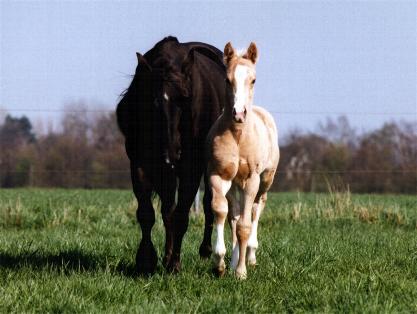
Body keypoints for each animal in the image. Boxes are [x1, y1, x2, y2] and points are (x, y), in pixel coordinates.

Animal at [115, 36, 231, 272]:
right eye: (152, 101)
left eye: (186, 98)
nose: (171, 154)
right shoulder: (141, 164)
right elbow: (148, 213)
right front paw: (146, 259)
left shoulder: (191, 168)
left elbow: (182, 215)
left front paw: (175, 264)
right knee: (168, 208)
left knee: (208, 204)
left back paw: (205, 250)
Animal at [206, 42, 278, 280]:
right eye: (228, 79)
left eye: (253, 79)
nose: (239, 113)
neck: (238, 136)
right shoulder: (218, 176)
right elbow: (222, 213)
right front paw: (220, 262)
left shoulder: (252, 179)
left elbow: (245, 226)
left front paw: (241, 272)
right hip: (235, 184)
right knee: (235, 216)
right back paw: (235, 258)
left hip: (265, 180)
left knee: (256, 208)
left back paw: (251, 256)